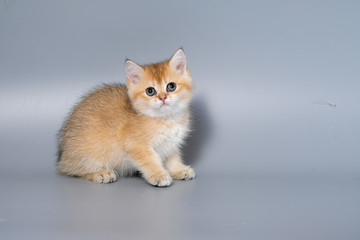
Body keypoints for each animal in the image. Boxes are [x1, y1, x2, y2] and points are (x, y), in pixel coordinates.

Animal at [57, 48, 195, 187]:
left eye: (171, 86)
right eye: (150, 91)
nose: (163, 98)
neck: (167, 119)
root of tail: (62, 154)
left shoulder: (171, 144)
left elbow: (173, 158)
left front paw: (179, 170)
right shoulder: (135, 144)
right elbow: (150, 160)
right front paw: (159, 175)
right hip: (88, 153)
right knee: (72, 169)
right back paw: (101, 173)